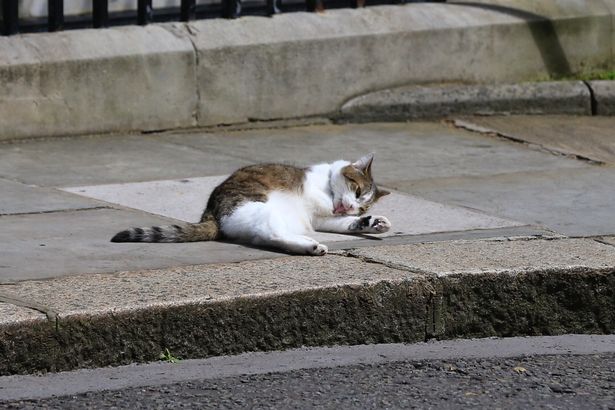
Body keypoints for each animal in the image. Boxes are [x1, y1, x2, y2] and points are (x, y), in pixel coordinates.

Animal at [110, 154, 390, 256]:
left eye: (363, 207)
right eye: (357, 191)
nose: (354, 208)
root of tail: (210, 212)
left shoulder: (325, 219)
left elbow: (344, 223)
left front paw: (372, 222)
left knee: (266, 237)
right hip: (261, 206)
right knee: (271, 234)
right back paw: (310, 246)